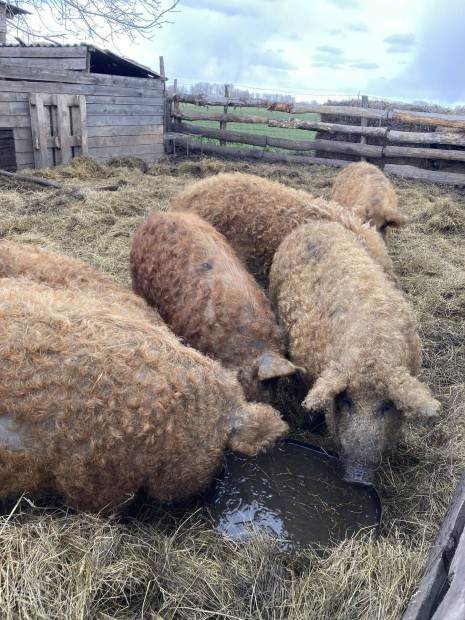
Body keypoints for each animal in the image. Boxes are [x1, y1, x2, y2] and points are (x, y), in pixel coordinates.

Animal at [268, 220, 438, 486]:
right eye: (347, 400)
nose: (359, 477)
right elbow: (309, 404)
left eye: (386, 406)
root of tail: (312, 224)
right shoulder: (308, 372)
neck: (372, 350)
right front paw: (308, 427)